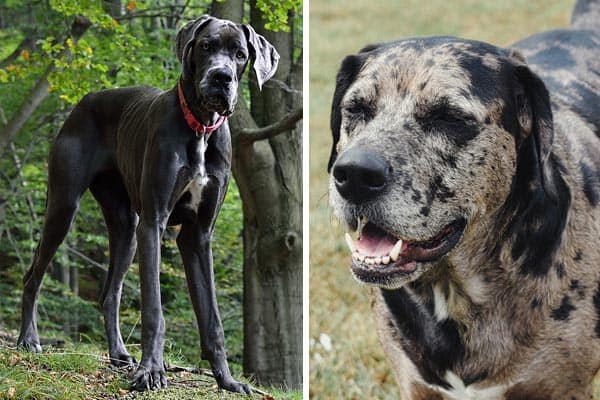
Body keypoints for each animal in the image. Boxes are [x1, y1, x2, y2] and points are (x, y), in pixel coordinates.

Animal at [16, 14, 278, 392]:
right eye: (206, 46)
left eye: (241, 54)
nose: (221, 77)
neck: (200, 128)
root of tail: (83, 101)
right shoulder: (155, 222)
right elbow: (154, 310)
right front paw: (151, 371)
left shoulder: (197, 236)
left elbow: (212, 318)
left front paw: (227, 380)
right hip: (64, 207)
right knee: (32, 276)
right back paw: (29, 339)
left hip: (126, 227)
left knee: (109, 294)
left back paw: (118, 354)